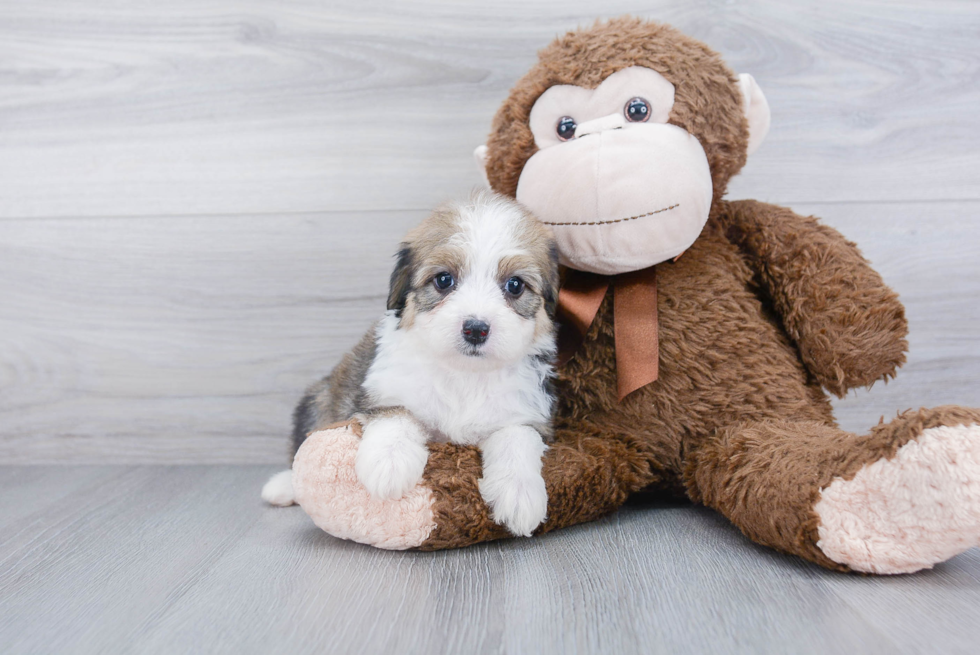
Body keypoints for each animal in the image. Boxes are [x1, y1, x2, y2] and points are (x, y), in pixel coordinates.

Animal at [264, 191, 564, 540]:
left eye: (515, 286)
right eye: (444, 280)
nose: (476, 329)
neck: (464, 375)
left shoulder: (526, 412)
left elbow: (517, 437)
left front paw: (519, 494)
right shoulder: (382, 390)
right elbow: (397, 412)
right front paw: (389, 463)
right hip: (318, 399)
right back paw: (284, 486)